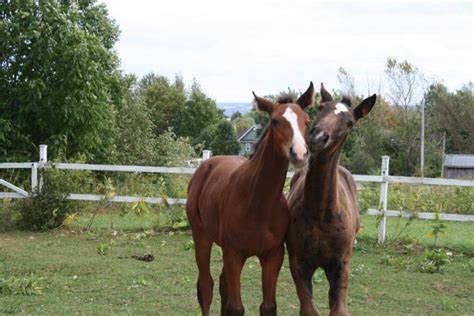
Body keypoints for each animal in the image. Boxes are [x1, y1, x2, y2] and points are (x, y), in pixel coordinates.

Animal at [186, 82, 314, 314]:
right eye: (274, 121)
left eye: (307, 121)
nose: (299, 153)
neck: (258, 203)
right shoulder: (234, 254)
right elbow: (236, 308)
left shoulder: (273, 256)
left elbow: (268, 306)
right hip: (201, 236)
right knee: (206, 285)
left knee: (222, 284)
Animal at [286, 82, 376, 314]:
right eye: (320, 108)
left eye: (350, 122)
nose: (318, 137)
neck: (320, 213)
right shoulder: (298, 263)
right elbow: (308, 308)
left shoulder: (341, 265)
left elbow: (338, 308)